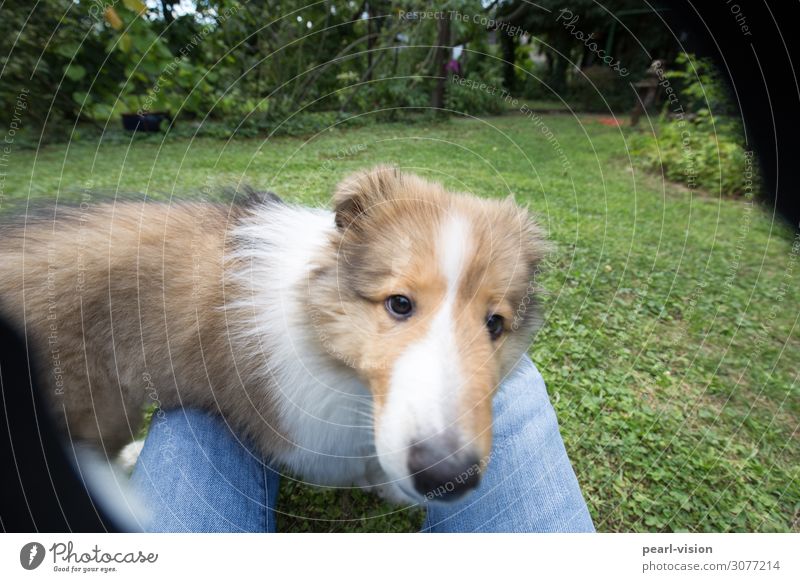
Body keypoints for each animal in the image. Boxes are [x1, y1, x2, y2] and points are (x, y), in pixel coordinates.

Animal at [0, 165, 548, 506]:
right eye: (399, 303)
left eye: (494, 324)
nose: (447, 479)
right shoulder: (305, 433)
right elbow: (363, 464)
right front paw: (391, 488)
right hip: (98, 403)